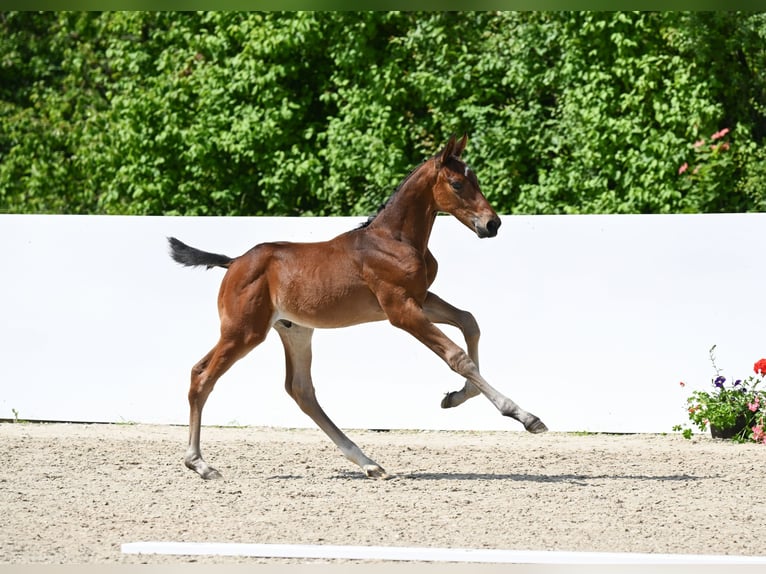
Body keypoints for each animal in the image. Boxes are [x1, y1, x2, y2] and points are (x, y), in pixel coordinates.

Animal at [168, 134, 547, 480]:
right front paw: (525, 416)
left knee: (301, 390)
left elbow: (469, 322)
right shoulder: (400, 309)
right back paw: (200, 464)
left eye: (477, 180)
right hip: (244, 331)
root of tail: (233, 262)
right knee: (202, 375)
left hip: (295, 331)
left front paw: (454, 397)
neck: (394, 238)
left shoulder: (421, 298)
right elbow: (457, 356)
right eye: (457, 183)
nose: (492, 224)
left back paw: (369, 464)